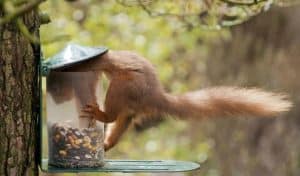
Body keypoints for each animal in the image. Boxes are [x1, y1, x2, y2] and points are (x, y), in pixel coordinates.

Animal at [48, 50, 292, 151]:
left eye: (56, 89)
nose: (57, 100)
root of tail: (154, 94)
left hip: (121, 88)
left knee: (112, 115)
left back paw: (99, 114)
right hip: (128, 110)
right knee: (121, 123)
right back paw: (107, 144)